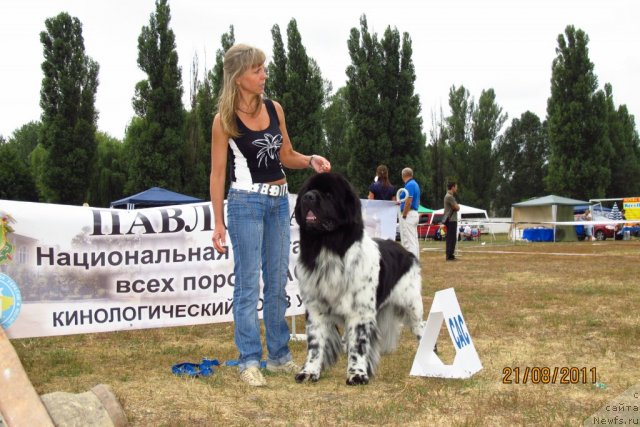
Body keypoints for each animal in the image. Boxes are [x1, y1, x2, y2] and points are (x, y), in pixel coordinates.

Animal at [296, 172, 424, 386]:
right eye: (307, 190)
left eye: (329, 194)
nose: (308, 197)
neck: (328, 248)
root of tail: (405, 251)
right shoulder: (315, 309)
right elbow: (315, 344)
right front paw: (309, 371)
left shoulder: (360, 312)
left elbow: (359, 345)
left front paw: (357, 374)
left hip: (411, 304)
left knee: (422, 327)